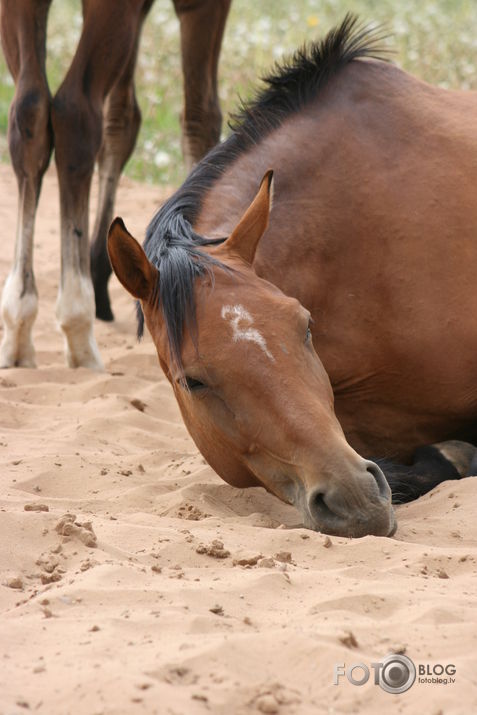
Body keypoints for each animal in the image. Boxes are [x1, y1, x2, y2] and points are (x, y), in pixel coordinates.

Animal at [0, 0, 231, 370]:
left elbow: (121, 121)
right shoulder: (200, 5)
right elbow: (200, 117)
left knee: (28, 112)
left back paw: (19, 327)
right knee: (74, 112)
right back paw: (78, 326)